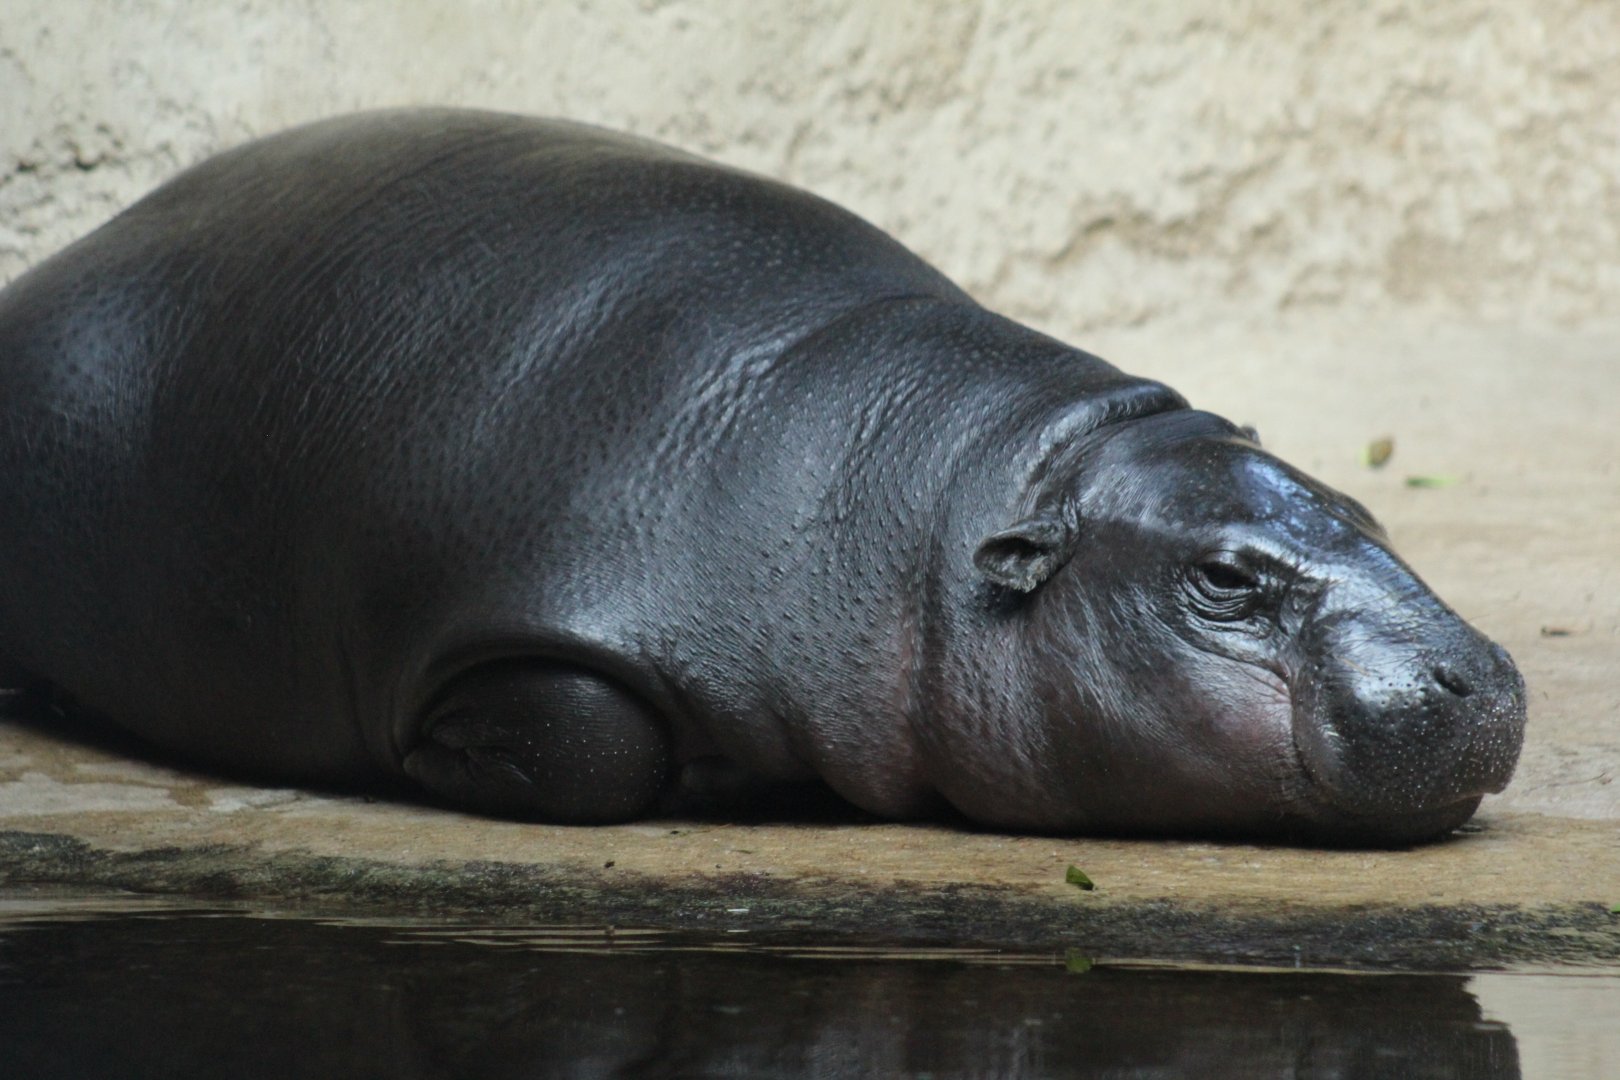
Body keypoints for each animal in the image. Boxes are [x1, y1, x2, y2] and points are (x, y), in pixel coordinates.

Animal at [0, 109, 1524, 842]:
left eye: (1369, 509)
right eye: (1223, 578)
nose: (1486, 679)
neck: (947, 501)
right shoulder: (530, 612)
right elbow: (588, 740)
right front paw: (442, 765)